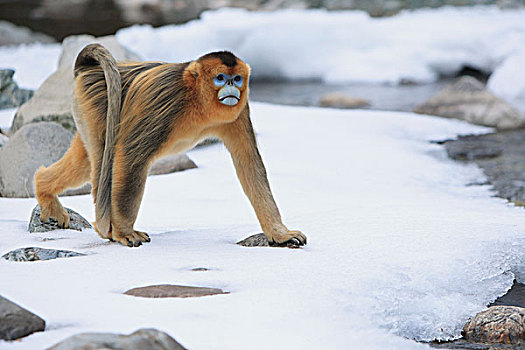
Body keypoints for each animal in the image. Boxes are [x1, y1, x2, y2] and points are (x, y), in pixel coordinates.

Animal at [34, 43, 304, 246]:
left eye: (237, 79)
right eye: (221, 78)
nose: (231, 86)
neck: (196, 98)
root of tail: (89, 70)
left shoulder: (238, 113)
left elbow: (249, 164)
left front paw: (279, 234)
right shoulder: (166, 101)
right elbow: (131, 156)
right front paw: (123, 233)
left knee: (83, 163)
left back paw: (44, 189)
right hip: (96, 103)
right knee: (103, 160)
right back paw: (107, 230)